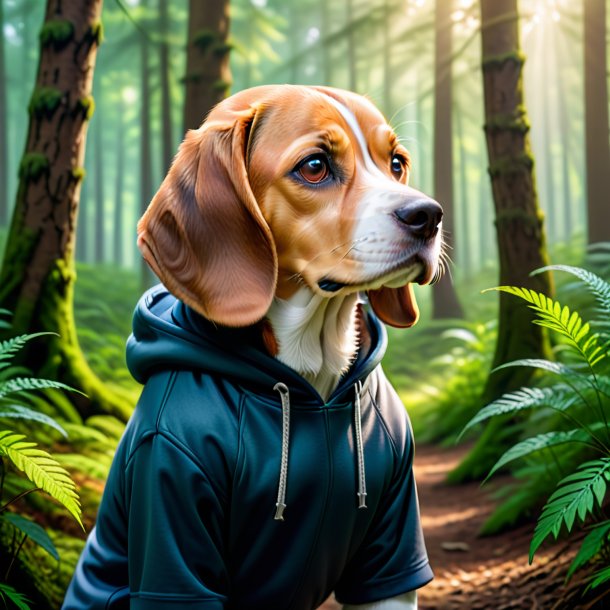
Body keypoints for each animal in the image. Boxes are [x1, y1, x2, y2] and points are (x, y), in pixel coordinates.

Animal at [63, 85, 442, 608]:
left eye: (397, 163)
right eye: (314, 166)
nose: (429, 215)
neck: (315, 384)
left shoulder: (393, 547)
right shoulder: (172, 511)